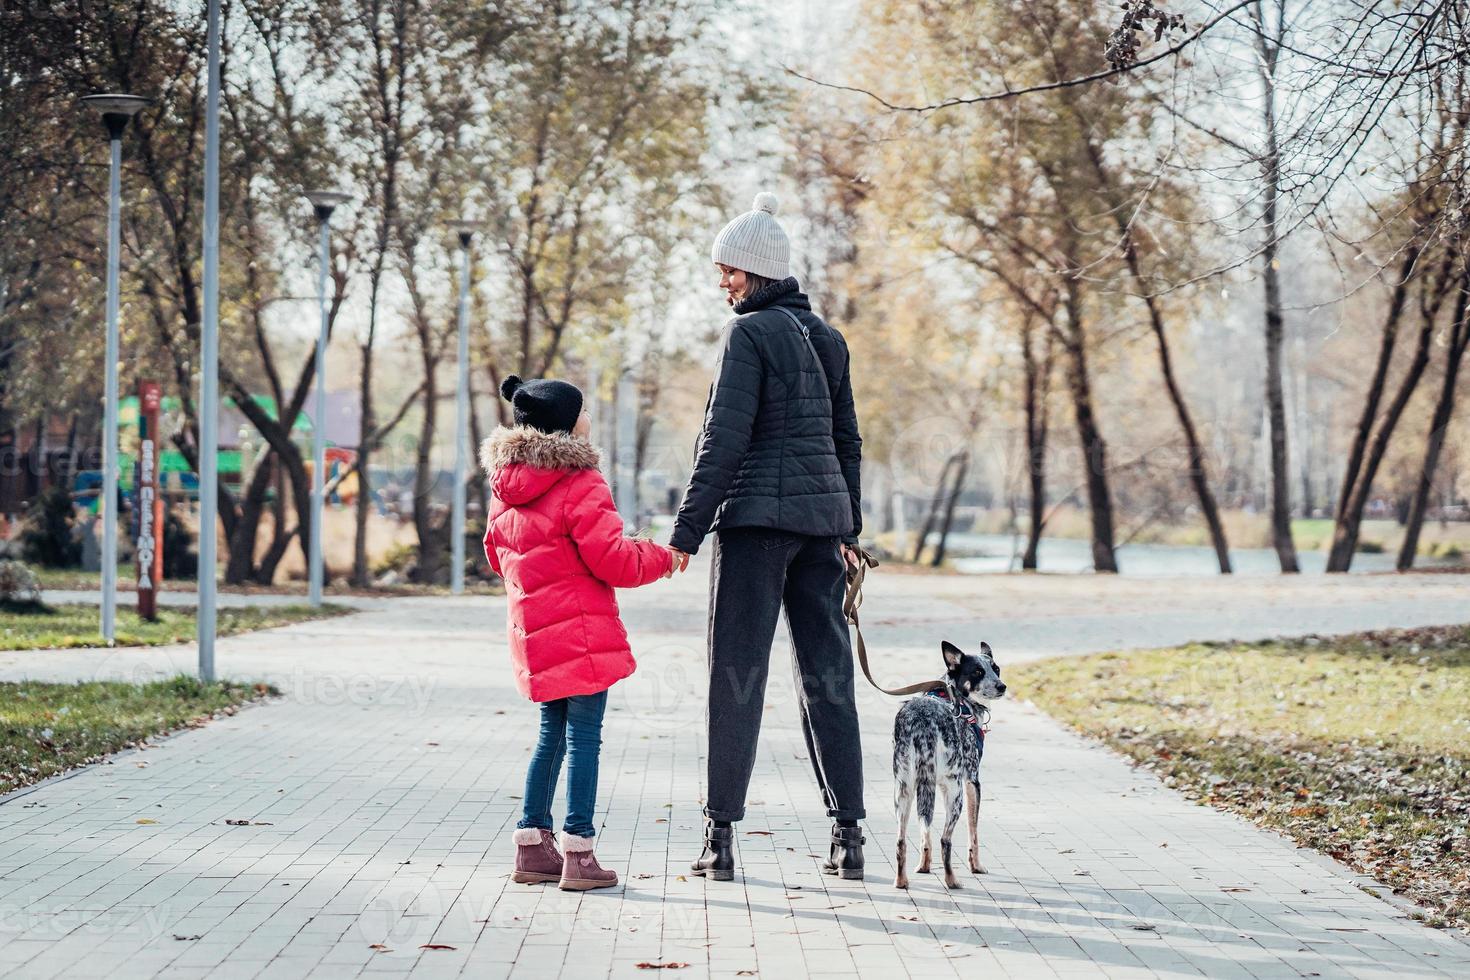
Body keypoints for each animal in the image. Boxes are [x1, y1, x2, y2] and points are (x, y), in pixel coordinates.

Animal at [887, 640, 1005, 893]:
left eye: (996, 668)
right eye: (977, 672)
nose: (1002, 686)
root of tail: (922, 723)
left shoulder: (934, 785)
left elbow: (925, 835)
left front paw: (924, 866)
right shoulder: (971, 781)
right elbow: (973, 832)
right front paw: (976, 866)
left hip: (904, 790)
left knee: (902, 840)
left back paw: (901, 881)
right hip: (955, 793)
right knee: (945, 839)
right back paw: (952, 881)